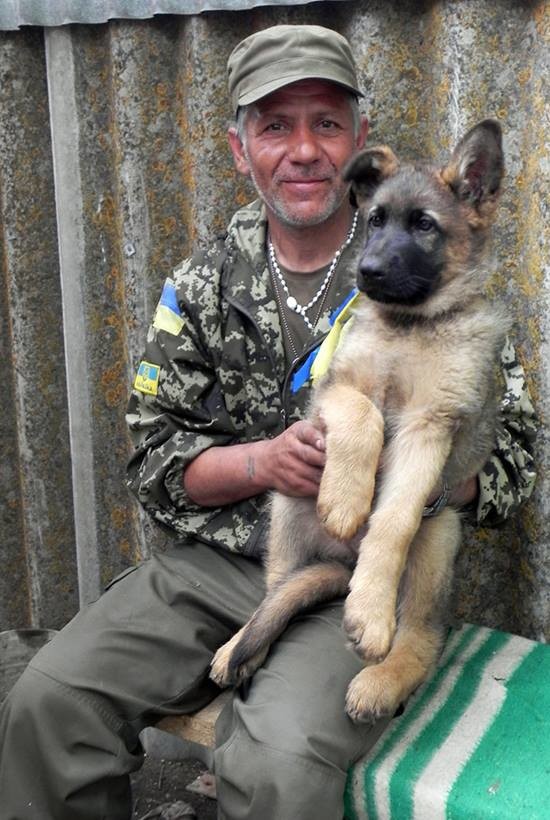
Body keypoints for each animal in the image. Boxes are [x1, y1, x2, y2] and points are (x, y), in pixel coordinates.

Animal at [210, 118, 508, 720]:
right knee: (275, 591)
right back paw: (239, 646)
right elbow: (365, 414)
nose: (366, 272)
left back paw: (384, 677)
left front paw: (369, 615)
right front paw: (347, 500)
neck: (410, 325)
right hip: (288, 506)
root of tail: (342, 564)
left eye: (424, 225)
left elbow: (392, 521)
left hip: (438, 537)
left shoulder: (429, 427)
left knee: (422, 637)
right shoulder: (336, 388)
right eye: (375, 221)